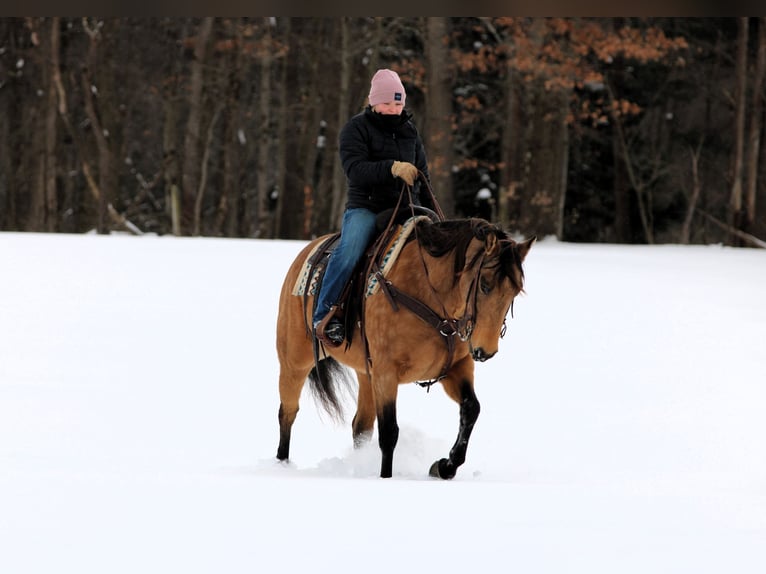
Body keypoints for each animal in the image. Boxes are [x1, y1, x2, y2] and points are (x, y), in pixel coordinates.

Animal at [275, 215, 534, 479]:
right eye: (484, 285)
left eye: (514, 291)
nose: (485, 351)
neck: (429, 293)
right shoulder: (387, 373)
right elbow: (389, 432)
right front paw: (387, 477)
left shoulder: (457, 367)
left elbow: (471, 409)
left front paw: (444, 466)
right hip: (294, 360)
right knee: (288, 412)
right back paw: (281, 464)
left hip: (365, 373)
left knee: (361, 426)